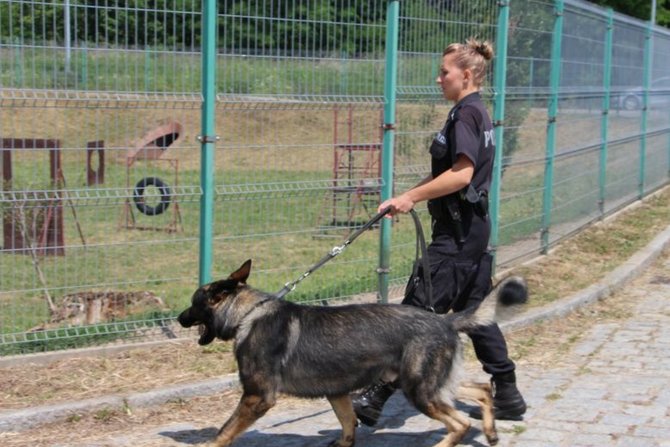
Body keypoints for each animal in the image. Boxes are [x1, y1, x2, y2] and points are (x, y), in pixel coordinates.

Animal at [178, 260, 532, 446]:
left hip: (420, 390)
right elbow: (348, 424)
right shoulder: (337, 393)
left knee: (459, 424)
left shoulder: (256, 397)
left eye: (194, 302)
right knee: (482, 389)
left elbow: (224, 432)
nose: (179, 318)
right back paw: (492, 431)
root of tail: (445, 320)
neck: (247, 314)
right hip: (433, 384)